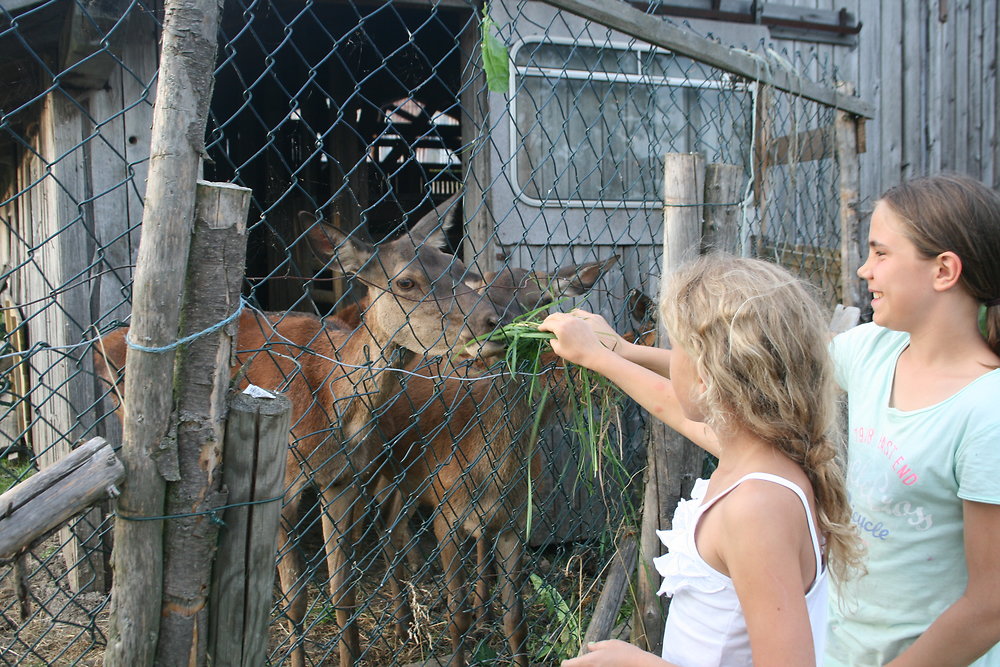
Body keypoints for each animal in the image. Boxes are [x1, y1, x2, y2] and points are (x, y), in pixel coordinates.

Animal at [93, 193, 520, 667]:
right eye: (407, 282)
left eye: (460, 269)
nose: (495, 322)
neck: (331, 408)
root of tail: (104, 339)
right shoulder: (280, 483)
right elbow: (294, 597)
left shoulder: (342, 481)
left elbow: (342, 591)